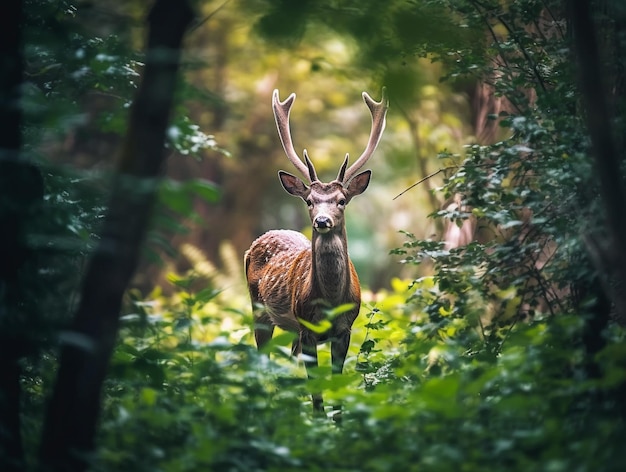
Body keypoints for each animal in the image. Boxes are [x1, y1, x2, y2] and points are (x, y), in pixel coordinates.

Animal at [243, 85, 386, 416]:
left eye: (342, 200)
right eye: (309, 201)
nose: (322, 220)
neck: (330, 303)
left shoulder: (345, 331)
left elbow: (336, 384)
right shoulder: (306, 329)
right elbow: (316, 392)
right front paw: (319, 419)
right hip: (259, 311)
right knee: (261, 359)